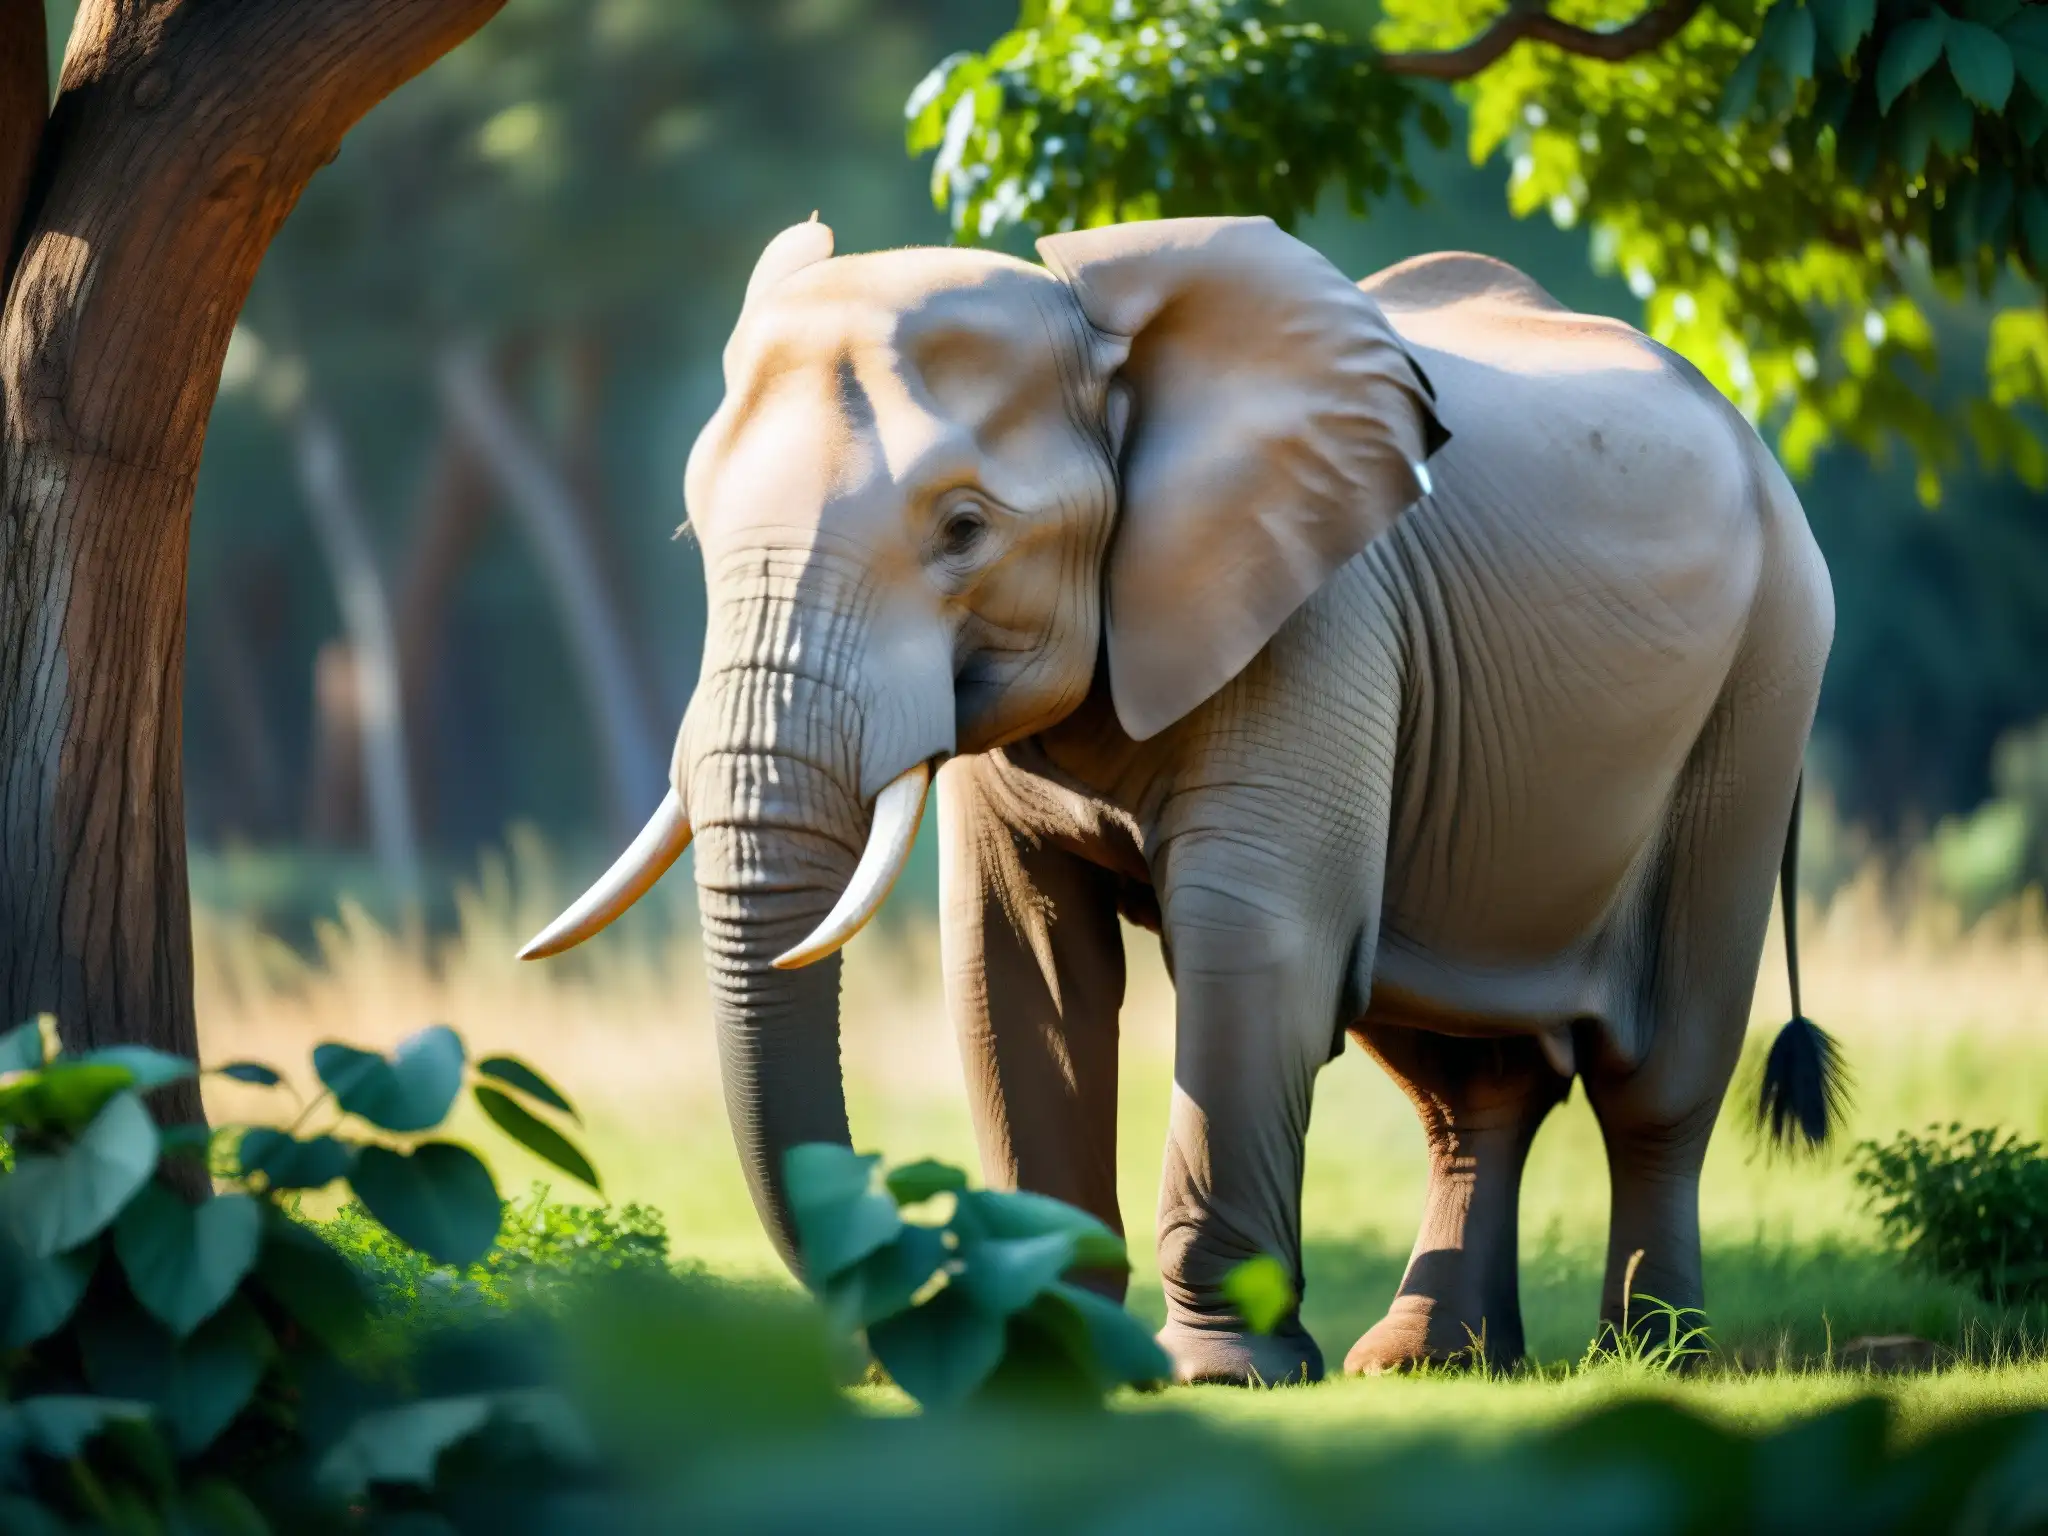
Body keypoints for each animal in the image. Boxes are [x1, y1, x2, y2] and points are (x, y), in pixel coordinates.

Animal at [512, 214, 1843, 1384]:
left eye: (962, 529)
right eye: (693, 538)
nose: (874, 1352)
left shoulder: (1319, 613)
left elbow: (1252, 945)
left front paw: (1221, 1375)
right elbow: (1016, 966)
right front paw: (1047, 1354)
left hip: (1764, 676)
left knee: (1658, 1070)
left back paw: (1650, 1357)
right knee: (1465, 1070)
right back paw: (1427, 1361)